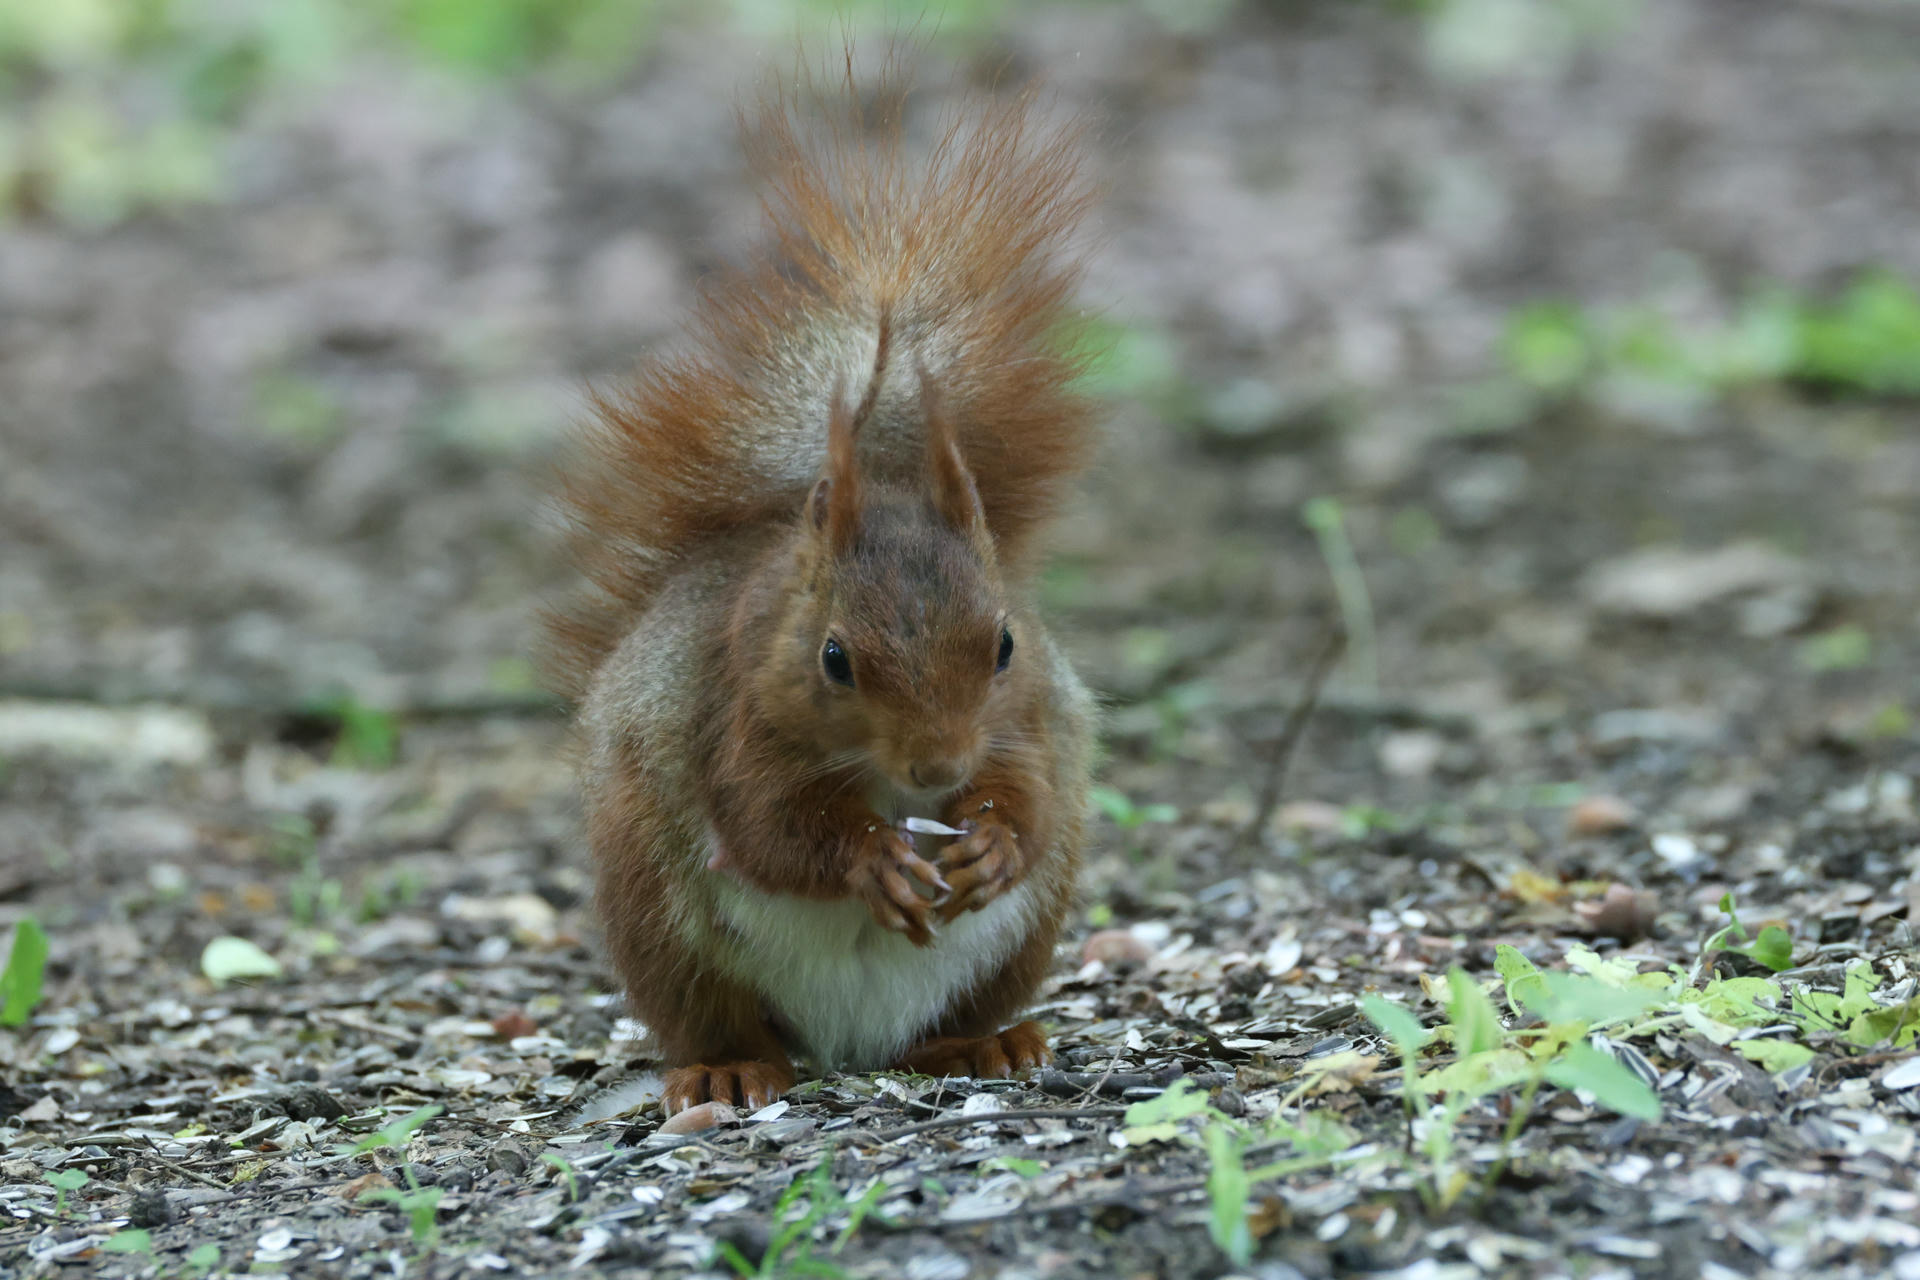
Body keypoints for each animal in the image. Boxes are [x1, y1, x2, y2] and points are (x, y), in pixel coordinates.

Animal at [543, 61, 1099, 1115]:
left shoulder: (1031, 719)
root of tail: (848, 1045)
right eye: (833, 658)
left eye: (1005, 644)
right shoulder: (735, 716)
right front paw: (871, 858)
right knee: (715, 1014)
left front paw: (991, 838)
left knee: (956, 1010)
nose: (937, 767)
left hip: (1027, 930)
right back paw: (727, 1067)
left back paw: (980, 1044)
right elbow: (769, 826)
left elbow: (1033, 795)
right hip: (660, 917)